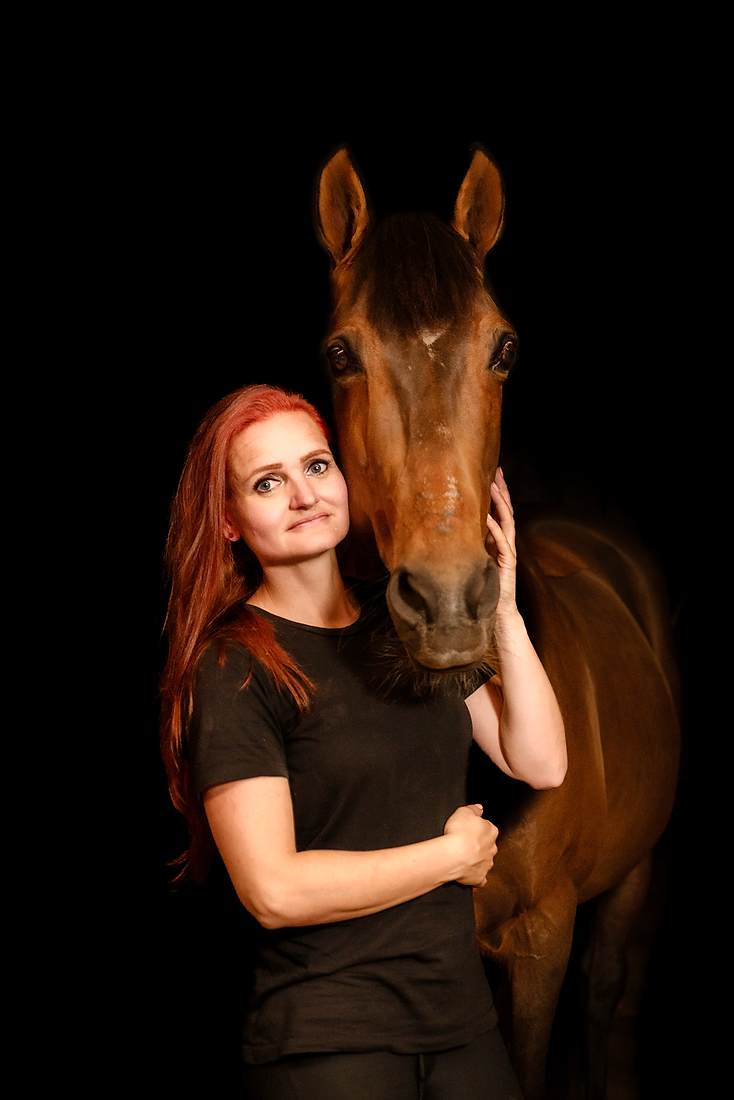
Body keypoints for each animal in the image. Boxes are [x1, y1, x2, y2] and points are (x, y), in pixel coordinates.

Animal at [312, 146, 682, 1100]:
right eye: (341, 353)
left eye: (504, 348)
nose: (449, 604)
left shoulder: (539, 941)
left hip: (630, 883)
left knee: (605, 996)